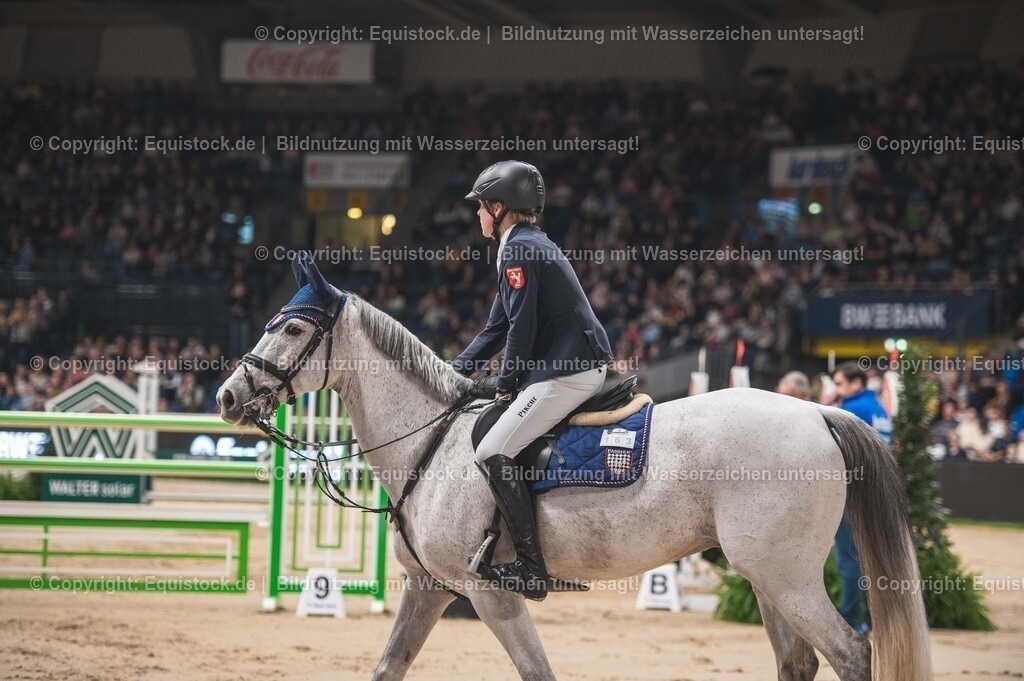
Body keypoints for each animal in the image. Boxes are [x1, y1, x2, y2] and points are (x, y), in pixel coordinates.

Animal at [217, 257, 932, 681]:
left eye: (292, 329)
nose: (226, 397)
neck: (431, 443)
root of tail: (816, 413)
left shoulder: (490, 594)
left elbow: (538, 674)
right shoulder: (430, 589)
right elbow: (388, 668)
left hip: (785, 575)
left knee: (852, 655)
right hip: (766, 577)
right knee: (799, 663)